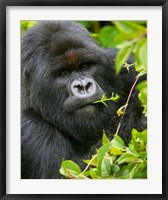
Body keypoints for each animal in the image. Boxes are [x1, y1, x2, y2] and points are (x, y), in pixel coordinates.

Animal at [21, 21, 146, 179]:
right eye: (63, 73)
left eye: (85, 66)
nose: (84, 86)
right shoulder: (29, 127)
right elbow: (74, 172)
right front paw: (138, 114)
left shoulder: (121, 64)